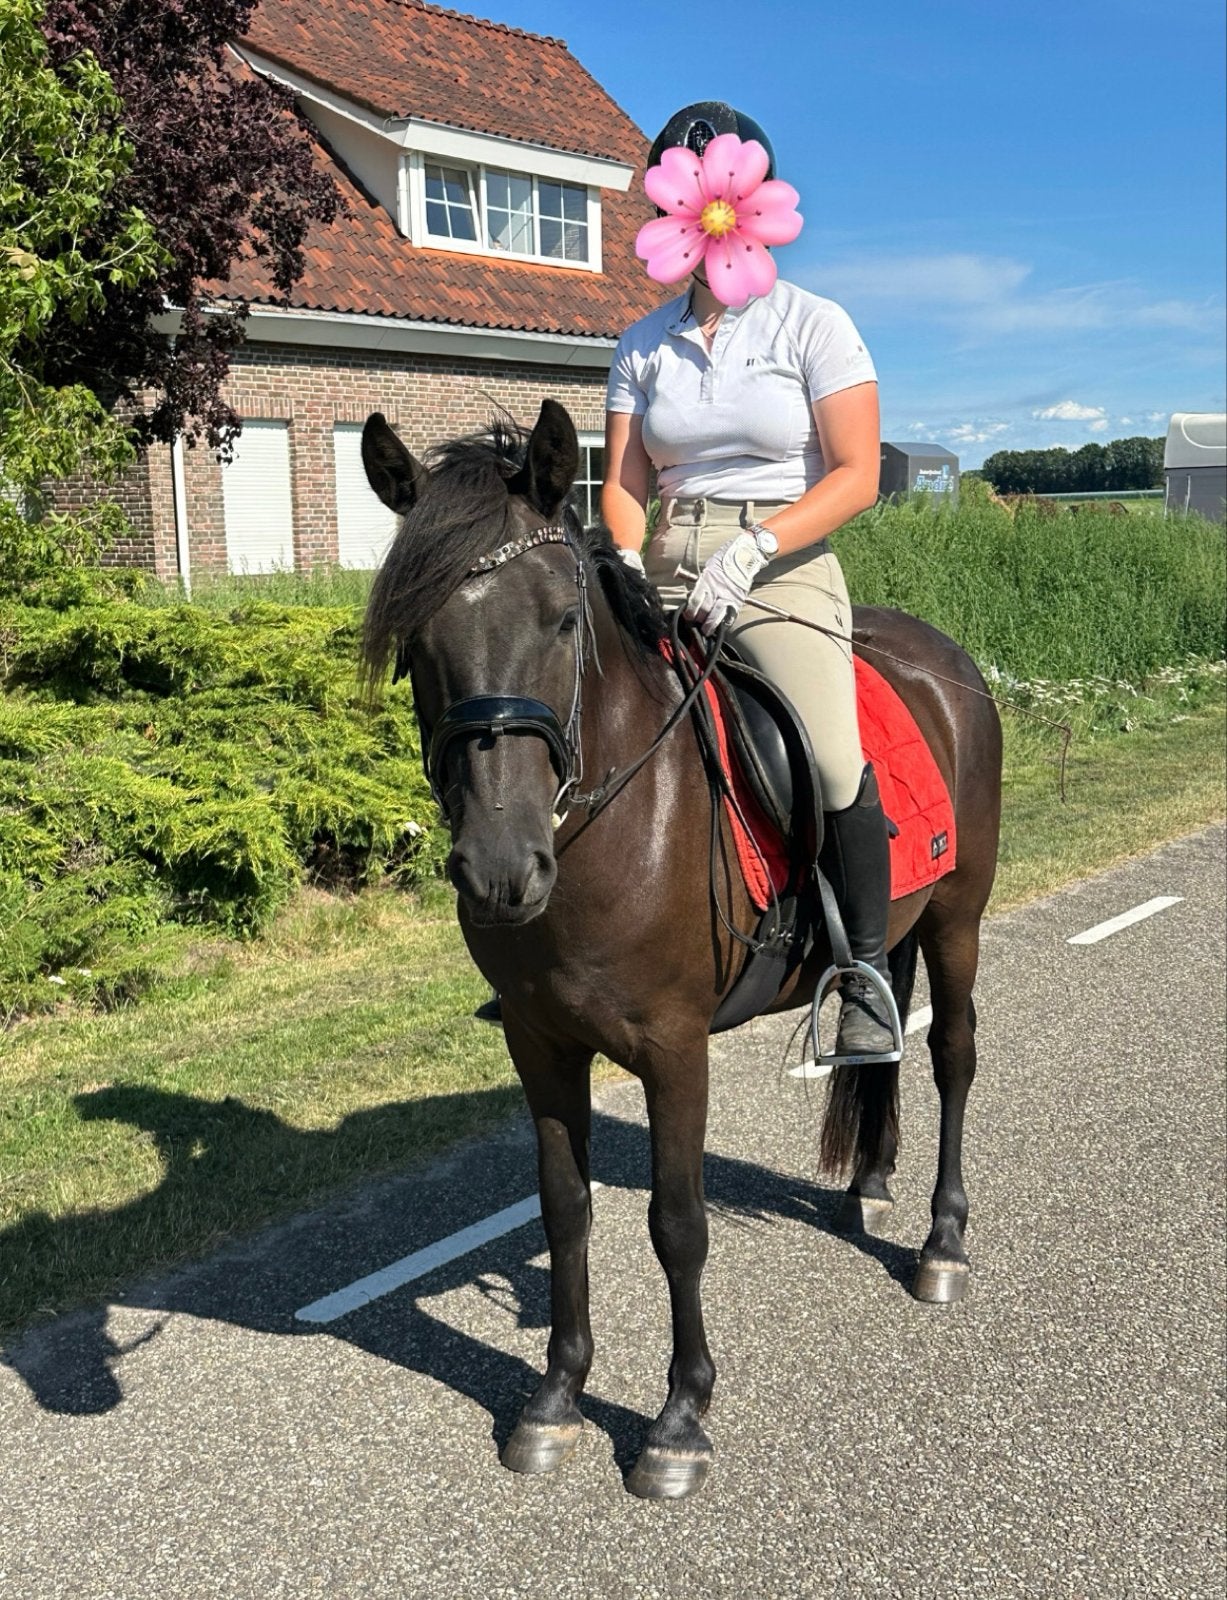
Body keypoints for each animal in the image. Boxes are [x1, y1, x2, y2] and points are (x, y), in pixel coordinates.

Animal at [360, 399, 1003, 1500]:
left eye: (561, 619)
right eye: (417, 636)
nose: (499, 871)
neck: (607, 825)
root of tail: (946, 661)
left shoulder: (673, 1047)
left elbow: (675, 1222)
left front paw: (678, 1419)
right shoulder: (539, 1044)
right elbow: (564, 1209)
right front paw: (555, 1398)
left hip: (957, 920)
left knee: (953, 1057)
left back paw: (941, 1241)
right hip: (898, 932)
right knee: (883, 1035)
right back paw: (870, 1181)